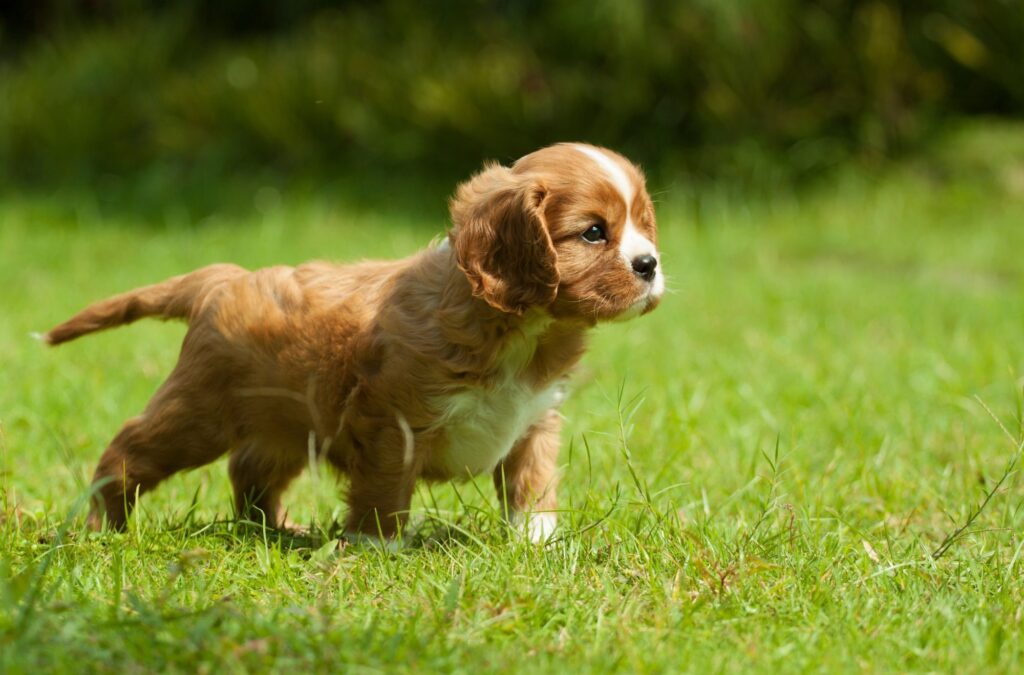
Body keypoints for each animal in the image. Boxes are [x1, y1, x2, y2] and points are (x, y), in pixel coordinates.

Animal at [44, 142, 663, 544]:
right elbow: (385, 489)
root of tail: (224, 278)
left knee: (250, 469)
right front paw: (376, 547)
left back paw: (276, 530)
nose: (650, 264)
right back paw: (101, 529)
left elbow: (531, 485)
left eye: (643, 225)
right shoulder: (391, 421)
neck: (523, 334)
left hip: (284, 424)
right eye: (594, 233)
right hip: (199, 412)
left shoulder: (533, 420)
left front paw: (539, 544)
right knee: (128, 450)